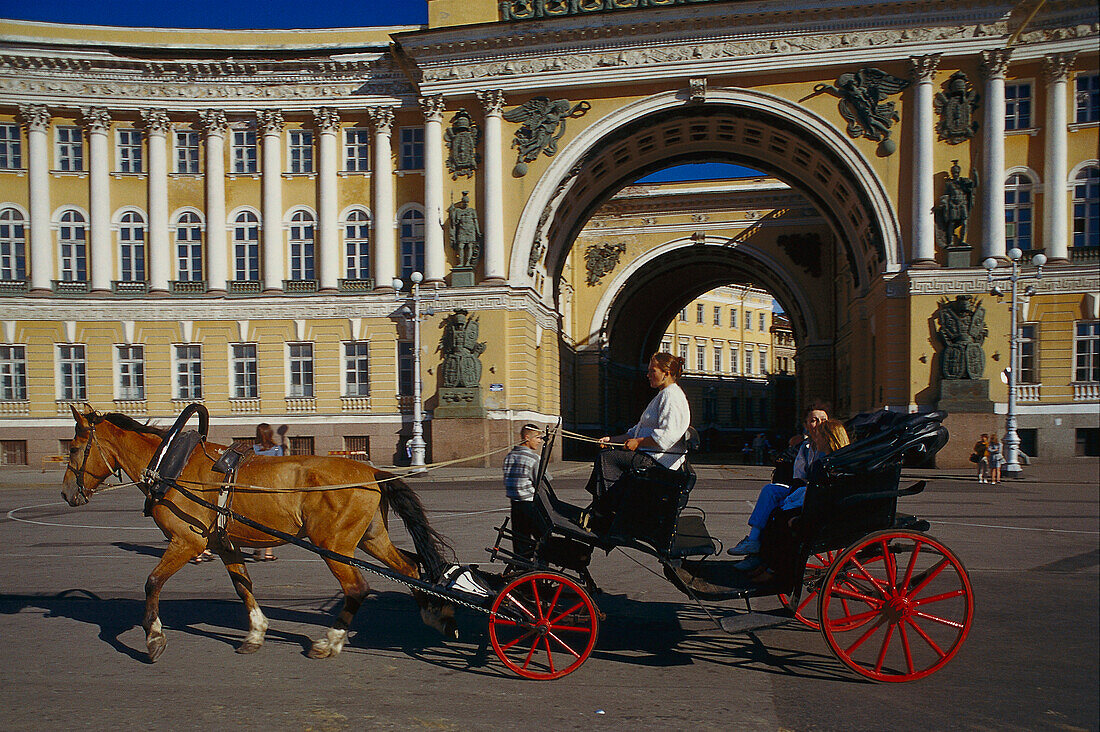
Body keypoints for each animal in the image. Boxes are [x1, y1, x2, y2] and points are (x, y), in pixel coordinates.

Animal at [61, 405, 455, 660]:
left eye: (75, 448)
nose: (66, 493)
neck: (174, 466)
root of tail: (371, 470)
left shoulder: (188, 541)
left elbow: (153, 582)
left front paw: (154, 638)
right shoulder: (224, 544)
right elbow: (243, 586)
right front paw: (255, 632)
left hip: (333, 544)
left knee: (357, 588)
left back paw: (329, 642)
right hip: (370, 538)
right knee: (408, 567)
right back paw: (435, 614)